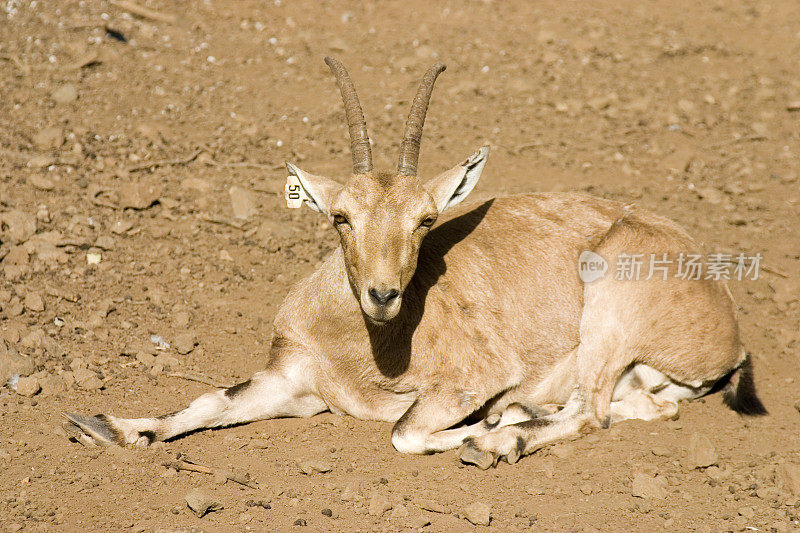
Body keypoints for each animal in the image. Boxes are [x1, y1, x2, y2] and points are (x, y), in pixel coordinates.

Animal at [65, 56, 764, 468]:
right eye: (340, 216)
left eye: (425, 220)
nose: (382, 296)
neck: (364, 347)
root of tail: (727, 325)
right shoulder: (290, 383)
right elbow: (210, 400)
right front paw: (107, 424)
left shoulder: (470, 380)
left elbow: (403, 431)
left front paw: (485, 427)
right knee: (647, 407)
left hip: (610, 303)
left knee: (591, 410)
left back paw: (501, 435)